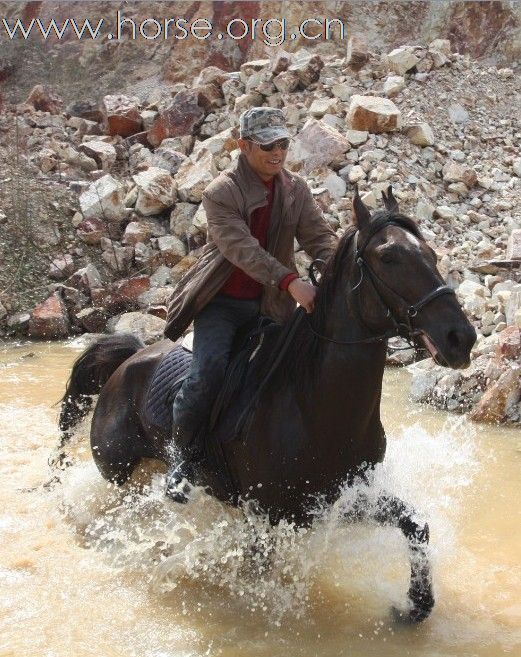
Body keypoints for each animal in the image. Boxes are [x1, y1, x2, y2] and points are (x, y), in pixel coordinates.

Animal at [57, 188, 476, 620]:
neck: (313, 408)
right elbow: (258, 572)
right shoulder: (266, 516)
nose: (460, 338)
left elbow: (415, 524)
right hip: (118, 473)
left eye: (431, 253)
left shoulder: (342, 499)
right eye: (388, 256)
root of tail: (128, 360)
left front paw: (415, 606)